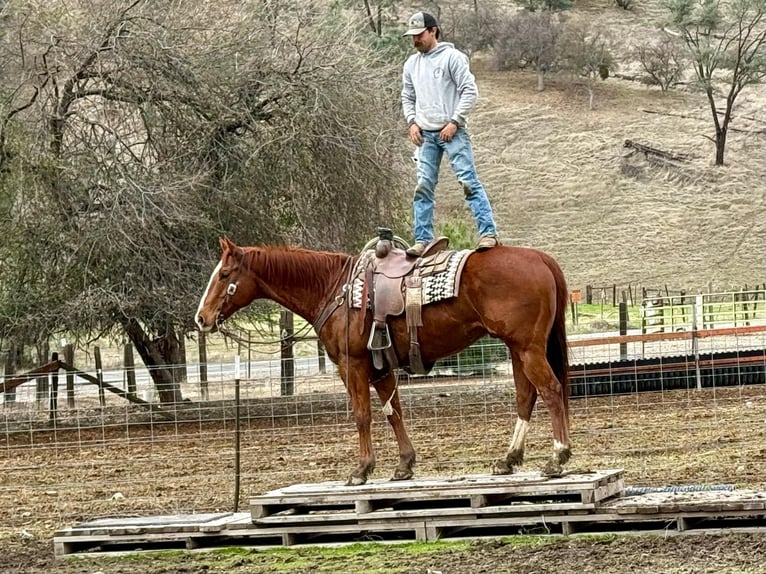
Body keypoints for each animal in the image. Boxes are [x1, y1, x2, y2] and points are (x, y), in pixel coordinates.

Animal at [195, 237, 572, 486]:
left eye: (225, 274)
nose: (201, 318)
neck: (336, 288)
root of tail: (541, 258)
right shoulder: (381, 367)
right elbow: (394, 412)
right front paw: (404, 465)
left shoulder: (352, 365)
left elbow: (363, 415)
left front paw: (361, 469)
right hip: (518, 349)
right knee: (526, 396)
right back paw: (508, 459)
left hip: (528, 348)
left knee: (551, 390)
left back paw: (557, 457)